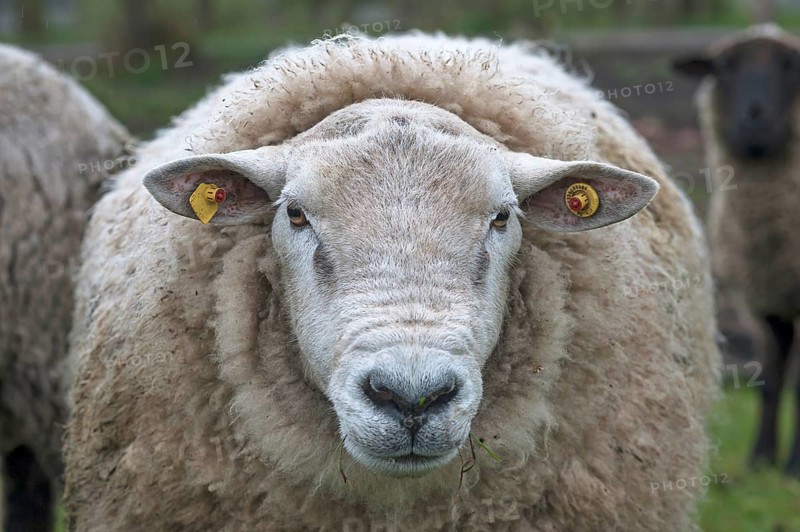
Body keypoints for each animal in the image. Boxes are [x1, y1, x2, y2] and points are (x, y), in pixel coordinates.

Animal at [674, 24, 800, 478]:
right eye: (724, 66)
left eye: (790, 64)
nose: (754, 120)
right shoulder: (760, 300)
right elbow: (771, 378)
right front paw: (761, 462)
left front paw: (794, 467)